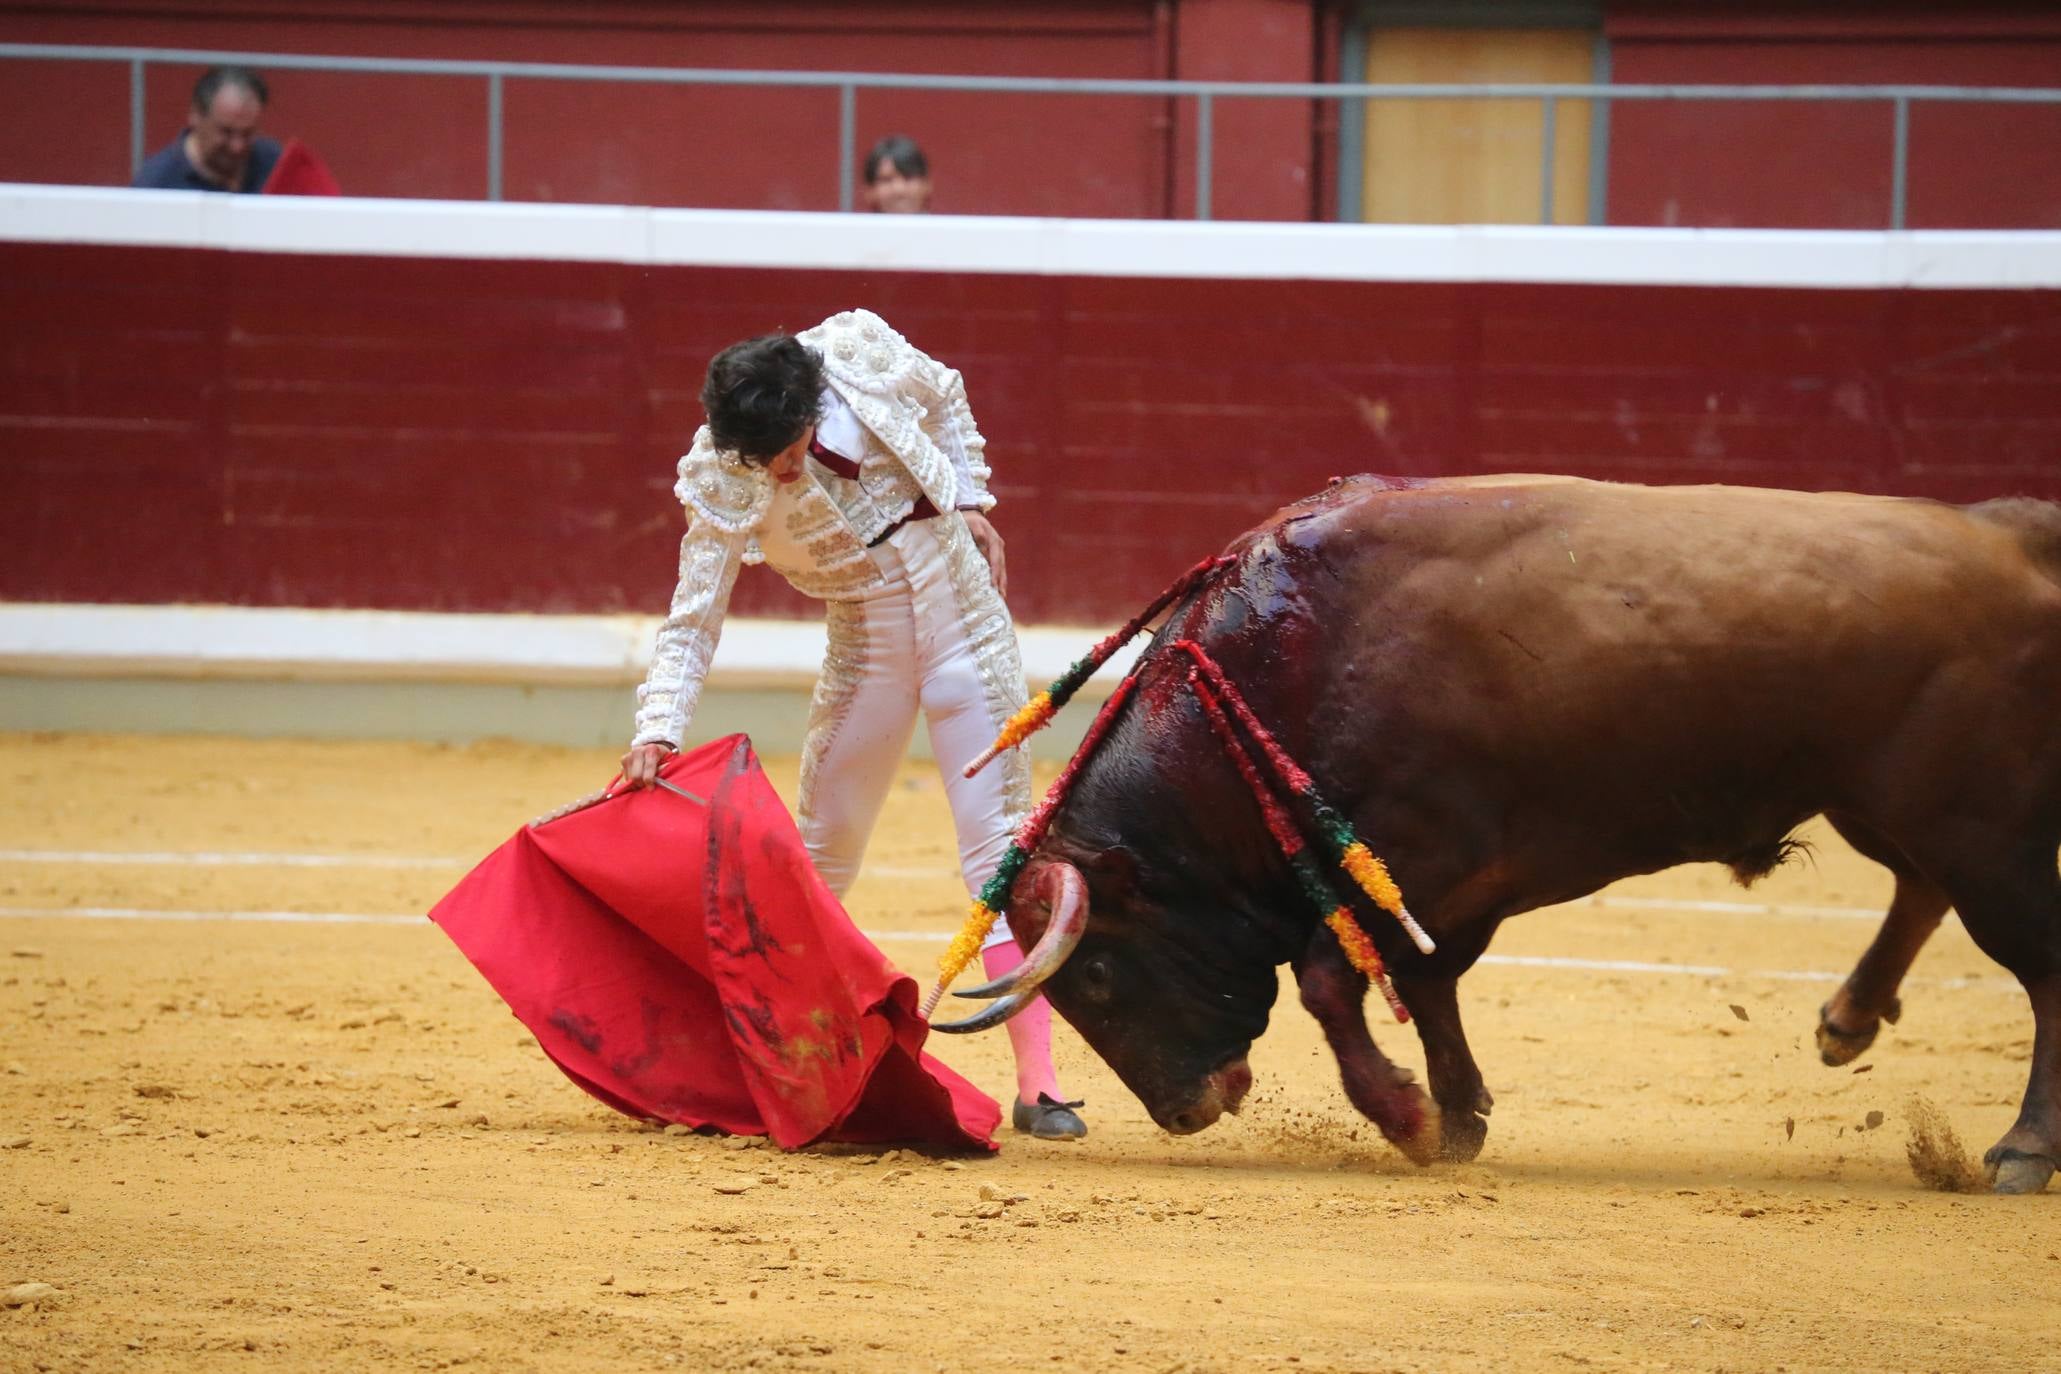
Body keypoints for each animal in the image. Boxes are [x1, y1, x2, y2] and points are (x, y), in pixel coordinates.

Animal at [943, 469, 2061, 1194]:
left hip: (1974, 817)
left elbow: (1331, 979)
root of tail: (2013, 532)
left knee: (2032, 958)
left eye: (1094, 974)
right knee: (1921, 888)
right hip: (1889, 806)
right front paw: (1458, 1115)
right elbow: (1424, 982)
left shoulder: (1422, 858)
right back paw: (1848, 1022)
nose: (1186, 1110)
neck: (1286, 665)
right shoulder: (1445, 886)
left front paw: (1407, 1117)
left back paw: (2022, 1150)